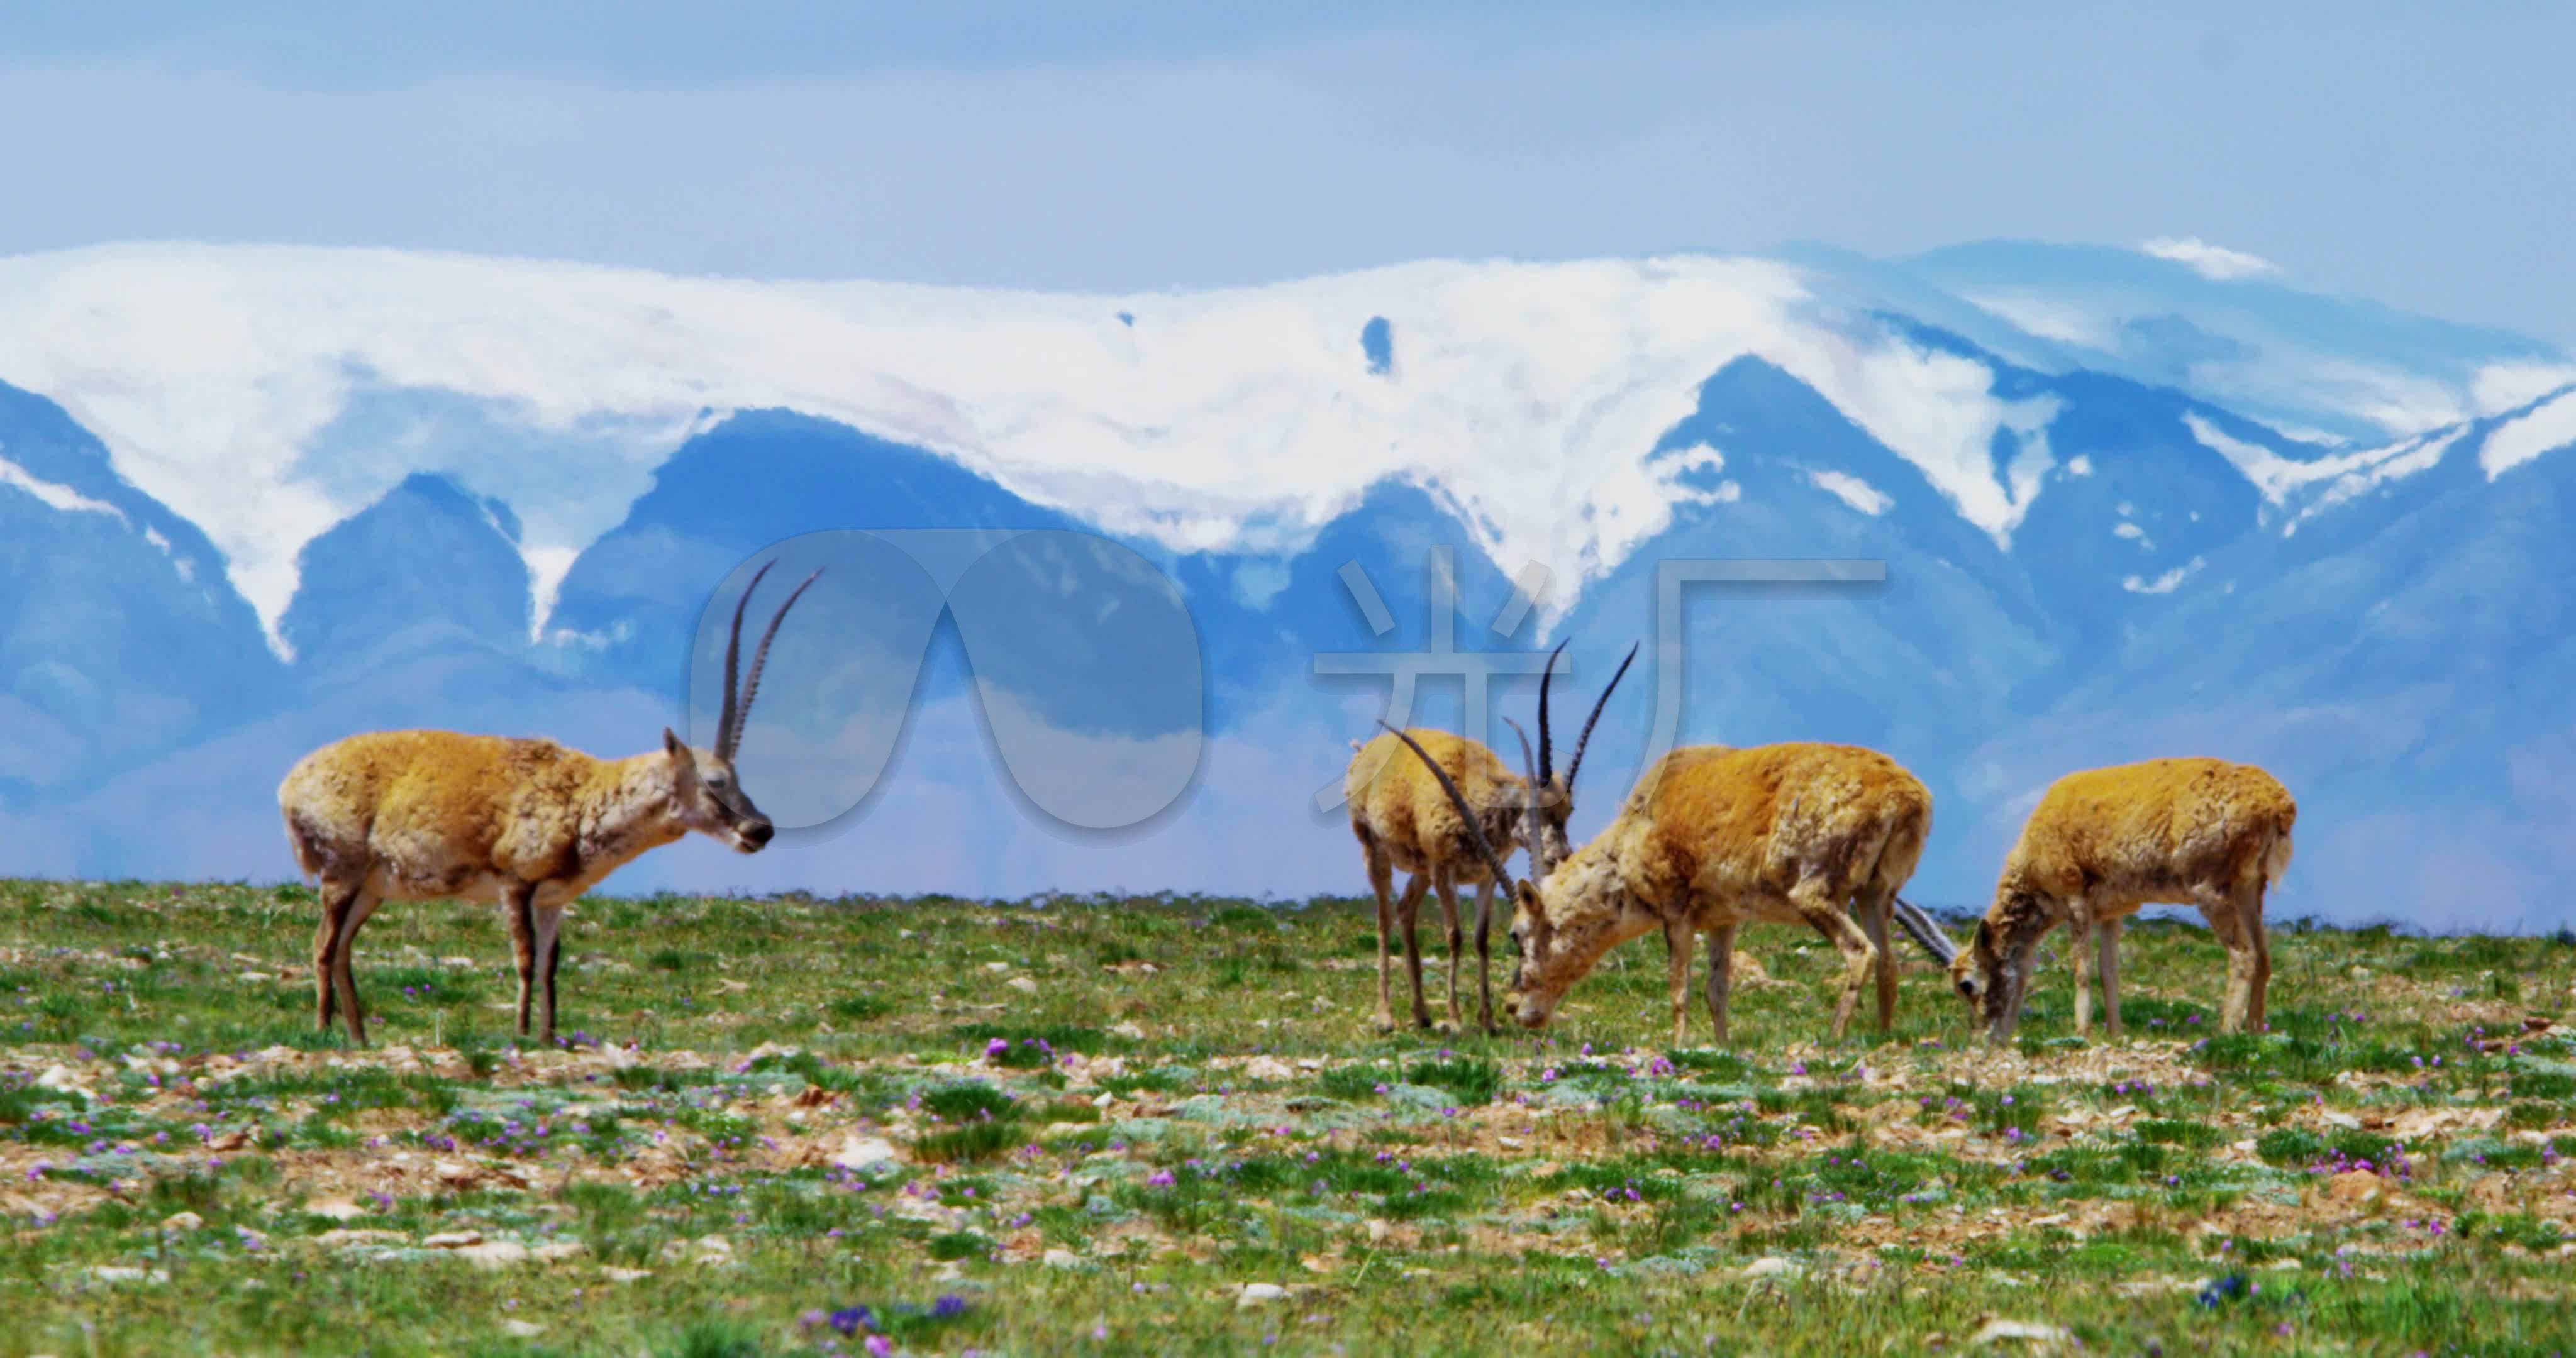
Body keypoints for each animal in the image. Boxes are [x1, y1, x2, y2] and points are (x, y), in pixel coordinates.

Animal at [273, 559, 819, 1046]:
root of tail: (292, 782)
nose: (760, 830)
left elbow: (551, 967)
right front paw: (519, 1033)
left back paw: (359, 1036)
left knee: (342, 949)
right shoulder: (515, 884)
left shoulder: (554, 899)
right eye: (715, 780)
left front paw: (549, 1035)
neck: (585, 793)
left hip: (372, 889)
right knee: (323, 945)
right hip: (342, 874)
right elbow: (525, 960)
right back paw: (324, 1032)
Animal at [1339, 644, 1638, 1035]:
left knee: (1405, 910)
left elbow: (1481, 939)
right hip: (1376, 851)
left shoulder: (1484, 875)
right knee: (1384, 919)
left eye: (1568, 810)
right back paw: (1385, 1016)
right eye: (1533, 809)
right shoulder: (1444, 872)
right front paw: (1455, 1019)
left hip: (1420, 869)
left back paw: (1421, 1014)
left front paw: (1488, 1020)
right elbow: (1454, 935)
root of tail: (1364, 752)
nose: (1560, 856)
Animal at [1380, 726, 1926, 1046]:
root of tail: (1907, 795)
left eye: (1516, 934)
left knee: (1861, 952)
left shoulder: (1676, 911)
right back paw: (1883, 1037)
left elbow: (1678, 985)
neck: (1639, 825)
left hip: (1815, 894)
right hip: (1876, 895)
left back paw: (1833, 1038)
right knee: (1888, 962)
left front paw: (1678, 1045)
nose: (1518, 1008)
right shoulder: (1724, 920)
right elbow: (1716, 989)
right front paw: (1721, 1046)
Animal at [1916, 758, 2297, 1046]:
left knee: (2244, 954)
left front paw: (2082, 1032)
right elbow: (2108, 971)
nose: (1984, 1038)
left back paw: (2226, 1032)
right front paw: (2115, 1033)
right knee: (2264, 956)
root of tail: (2279, 803)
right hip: (2250, 889)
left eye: (1966, 985)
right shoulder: (2113, 914)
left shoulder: (2076, 902)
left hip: (2211, 892)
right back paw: (2254, 1033)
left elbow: (2082, 969)